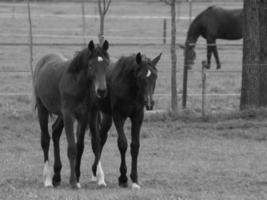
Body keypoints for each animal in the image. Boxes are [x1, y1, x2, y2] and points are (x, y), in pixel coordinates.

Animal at [33, 39, 110, 188]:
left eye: (107, 64)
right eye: (91, 66)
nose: (101, 91)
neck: (77, 84)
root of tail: (43, 61)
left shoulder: (86, 115)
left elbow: (90, 145)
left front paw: (100, 179)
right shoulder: (69, 115)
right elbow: (72, 148)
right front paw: (74, 182)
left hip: (61, 114)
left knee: (55, 131)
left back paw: (57, 176)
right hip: (42, 109)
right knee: (45, 140)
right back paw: (48, 179)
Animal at [75, 51, 161, 189]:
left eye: (155, 76)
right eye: (140, 77)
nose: (149, 103)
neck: (130, 88)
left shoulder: (137, 116)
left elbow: (135, 145)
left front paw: (135, 180)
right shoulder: (118, 116)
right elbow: (122, 143)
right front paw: (123, 178)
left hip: (106, 117)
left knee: (101, 139)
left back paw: (95, 172)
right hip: (91, 113)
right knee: (92, 140)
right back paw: (96, 176)